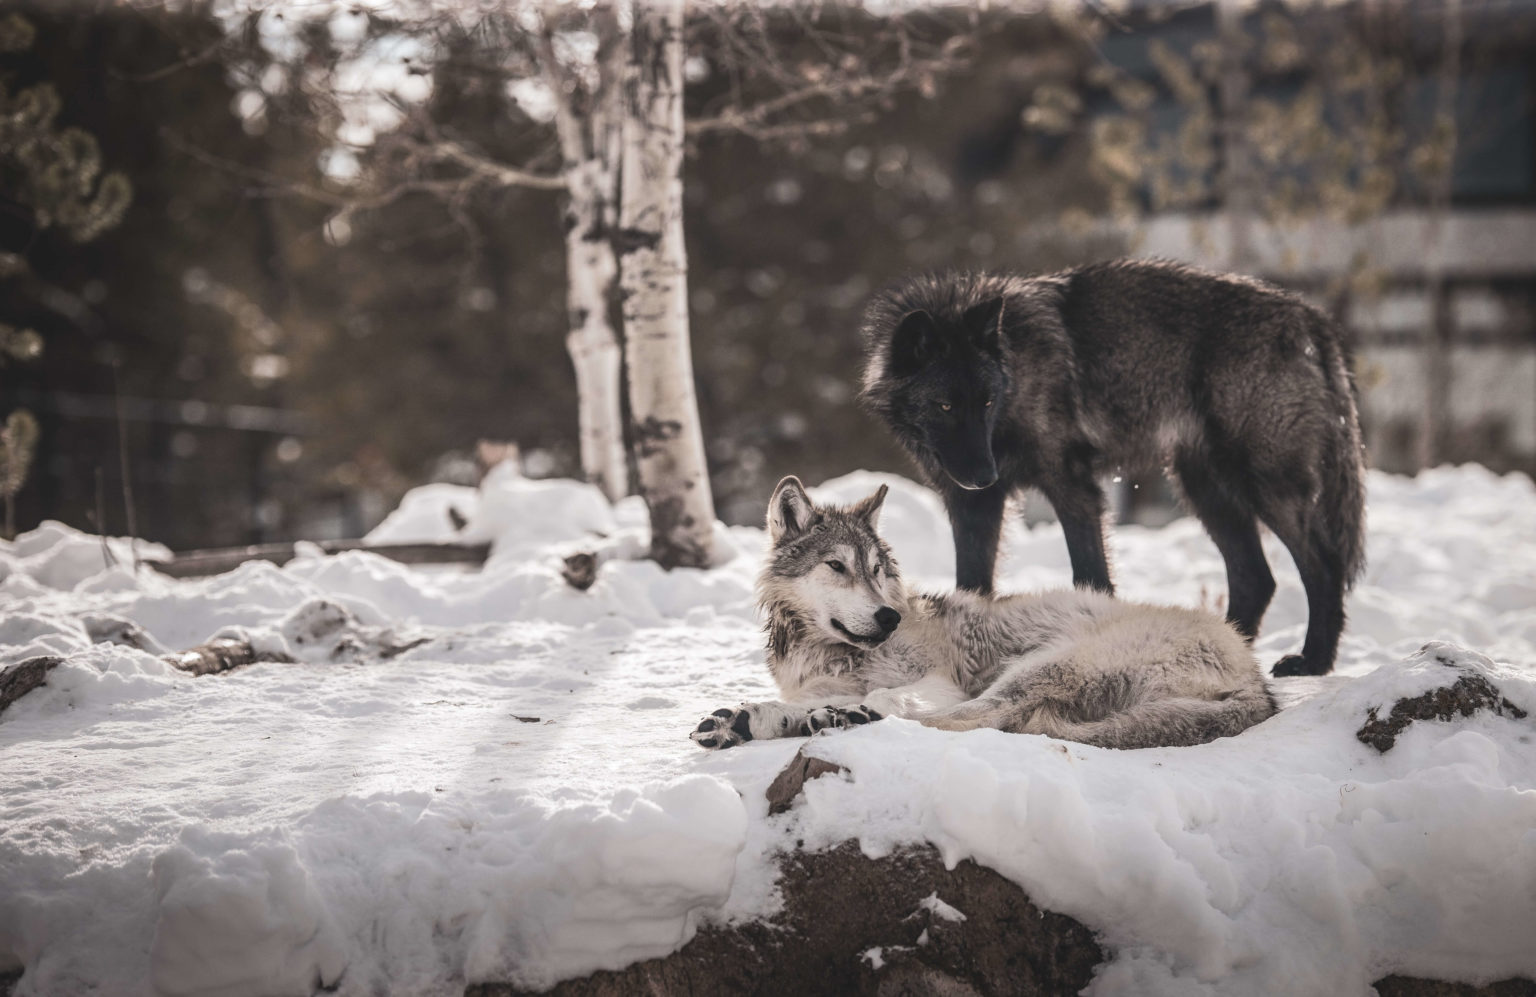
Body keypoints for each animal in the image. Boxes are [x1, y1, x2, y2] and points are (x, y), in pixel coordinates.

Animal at [694, 479, 1271, 749]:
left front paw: (847, 712)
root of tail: (1258, 680)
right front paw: (752, 716)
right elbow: (803, 702)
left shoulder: (938, 681)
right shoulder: (819, 684)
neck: (829, 653)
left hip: (1040, 666)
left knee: (983, 718)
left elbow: (895, 697)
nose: (889, 618)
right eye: (837, 566)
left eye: (877, 569)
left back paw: (851, 720)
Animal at [866, 256, 1370, 675]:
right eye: (946, 406)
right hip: (1204, 488)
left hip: (1265, 484)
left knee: (1323, 567)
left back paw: (1313, 661)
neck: (1018, 372)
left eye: (986, 401)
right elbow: (972, 584)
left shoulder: (1071, 487)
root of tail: (1309, 316)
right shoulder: (972, 506)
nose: (985, 476)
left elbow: (1090, 573)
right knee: (1255, 578)